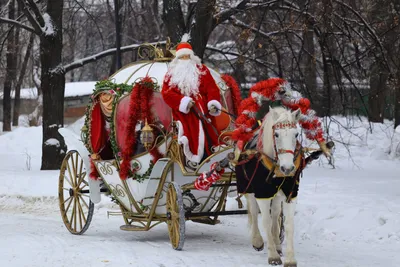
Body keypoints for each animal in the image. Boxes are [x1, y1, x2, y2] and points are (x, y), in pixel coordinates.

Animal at [242, 107, 302, 267]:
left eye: (296, 134)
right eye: (276, 134)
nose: (287, 168)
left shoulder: (290, 193)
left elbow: (288, 224)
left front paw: (290, 258)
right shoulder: (262, 193)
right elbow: (266, 221)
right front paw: (273, 256)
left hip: (277, 195)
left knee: (275, 213)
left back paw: (277, 243)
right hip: (249, 189)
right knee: (254, 211)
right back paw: (257, 240)